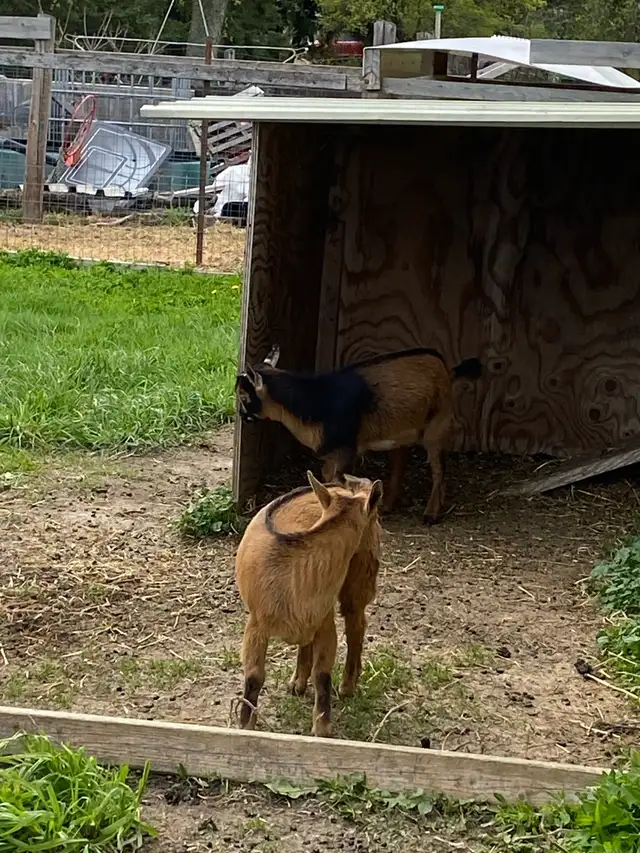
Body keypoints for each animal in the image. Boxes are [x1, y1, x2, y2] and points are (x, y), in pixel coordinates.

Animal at [235, 470, 383, 737]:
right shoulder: (256, 625)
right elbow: (254, 677)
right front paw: (246, 725)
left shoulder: (325, 622)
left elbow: (322, 675)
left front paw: (322, 729)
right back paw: (297, 683)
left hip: (360, 574)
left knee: (356, 624)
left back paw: (347, 686)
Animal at [236, 344, 481, 524]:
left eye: (243, 396)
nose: (240, 415)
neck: (314, 400)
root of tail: (446, 369)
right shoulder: (333, 453)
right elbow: (327, 479)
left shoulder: (347, 449)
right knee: (401, 462)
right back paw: (389, 505)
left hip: (436, 426)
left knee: (439, 469)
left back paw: (431, 514)